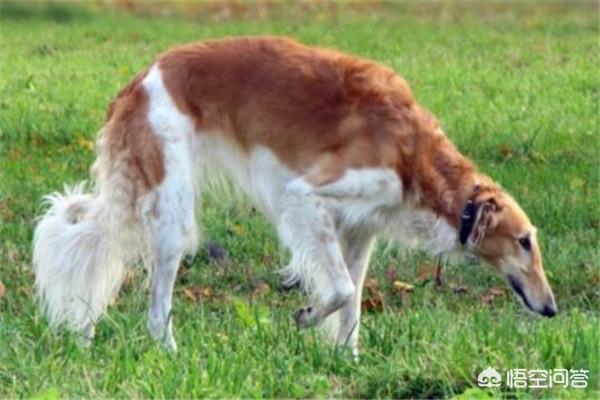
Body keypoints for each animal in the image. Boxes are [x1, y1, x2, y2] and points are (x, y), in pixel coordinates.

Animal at [34, 35, 556, 354]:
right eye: (524, 242)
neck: (413, 154)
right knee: (156, 312)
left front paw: (348, 359)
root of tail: (139, 80)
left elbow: (352, 303)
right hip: (173, 218)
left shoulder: (360, 229)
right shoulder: (305, 198)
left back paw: (85, 338)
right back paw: (170, 355)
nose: (551, 308)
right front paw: (305, 316)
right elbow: (340, 290)